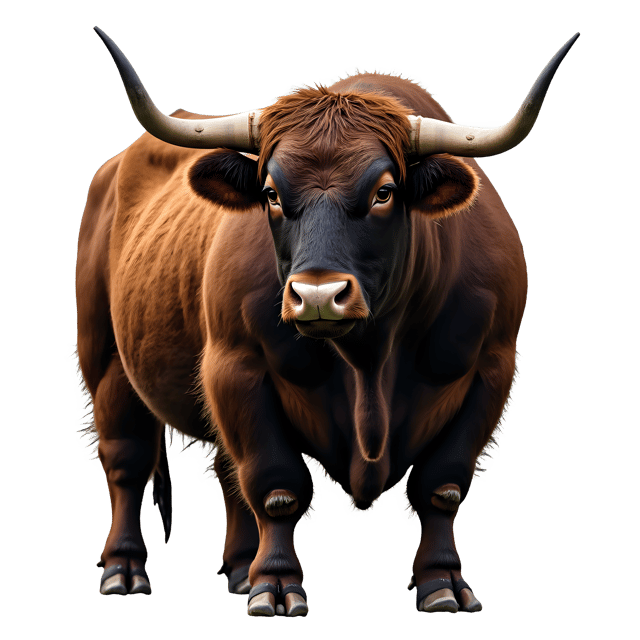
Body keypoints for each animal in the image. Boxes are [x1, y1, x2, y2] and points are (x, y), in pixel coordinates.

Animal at [74, 27, 579, 616]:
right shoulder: (236, 367)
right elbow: (276, 485)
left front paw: (443, 582)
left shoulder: (490, 369)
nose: (317, 295)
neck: (370, 363)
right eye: (271, 194)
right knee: (127, 462)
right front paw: (275, 584)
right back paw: (125, 570)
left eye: (384, 191)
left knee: (224, 470)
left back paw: (239, 568)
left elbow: (442, 485)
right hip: (106, 360)